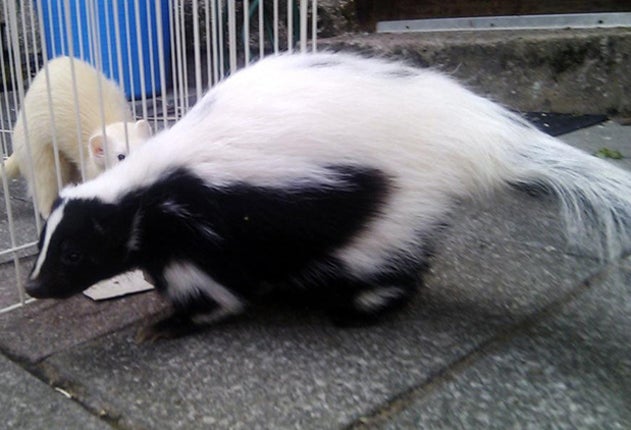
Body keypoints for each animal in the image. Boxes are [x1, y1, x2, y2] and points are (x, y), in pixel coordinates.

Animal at [24, 52, 631, 340]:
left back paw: (361, 308)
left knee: (385, 262)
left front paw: (169, 323)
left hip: (382, 203)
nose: (32, 285)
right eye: (41, 246)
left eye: (73, 253)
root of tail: (471, 135)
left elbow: (215, 289)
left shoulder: (202, 219)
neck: (145, 183)